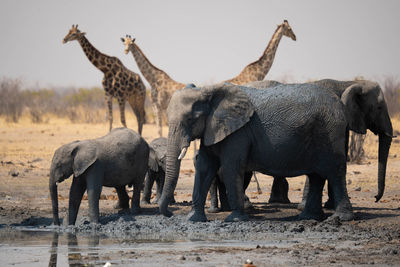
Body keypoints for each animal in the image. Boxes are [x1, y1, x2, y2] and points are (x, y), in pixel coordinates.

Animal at [159, 82, 354, 223]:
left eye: (191, 120)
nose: (170, 213)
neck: (207, 90)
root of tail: (340, 105)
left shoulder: (238, 132)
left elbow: (231, 168)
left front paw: (235, 219)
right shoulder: (213, 129)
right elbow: (205, 167)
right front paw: (192, 219)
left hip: (330, 132)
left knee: (335, 172)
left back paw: (339, 218)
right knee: (316, 176)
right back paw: (308, 217)